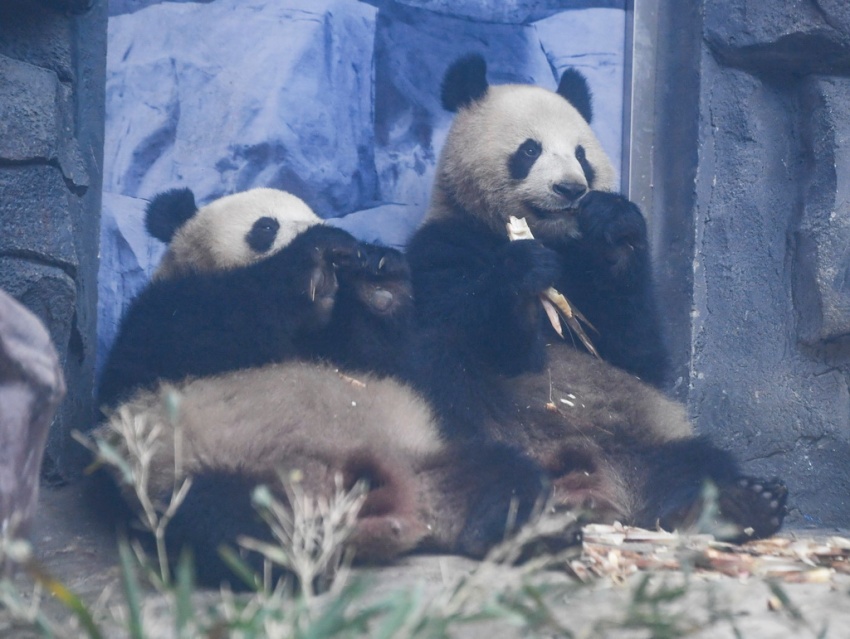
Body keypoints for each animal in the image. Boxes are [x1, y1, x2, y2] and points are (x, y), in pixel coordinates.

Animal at [93, 185, 544, 584]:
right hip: (223, 470)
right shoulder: (153, 325)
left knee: (507, 473)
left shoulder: (348, 352)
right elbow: (206, 322)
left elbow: (387, 360)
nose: (342, 257)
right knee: (227, 519)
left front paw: (378, 278)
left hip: (428, 459)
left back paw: (498, 529)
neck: (310, 325)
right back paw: (298, 558)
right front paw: (316, 254)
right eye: (265, 226)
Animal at [400, 55, 784, 544]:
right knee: (446, 377)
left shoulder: (589, 271)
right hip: (484, 423)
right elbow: (474, 326)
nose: (571, 189)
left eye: (581, 154)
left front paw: (615, 225)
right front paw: (523, 275)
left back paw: (736, 507)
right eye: (530, 150)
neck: (548, 238)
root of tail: (592, 486)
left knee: (695, 462)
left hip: (641, 436)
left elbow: (635, 354)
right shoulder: (442, 245)